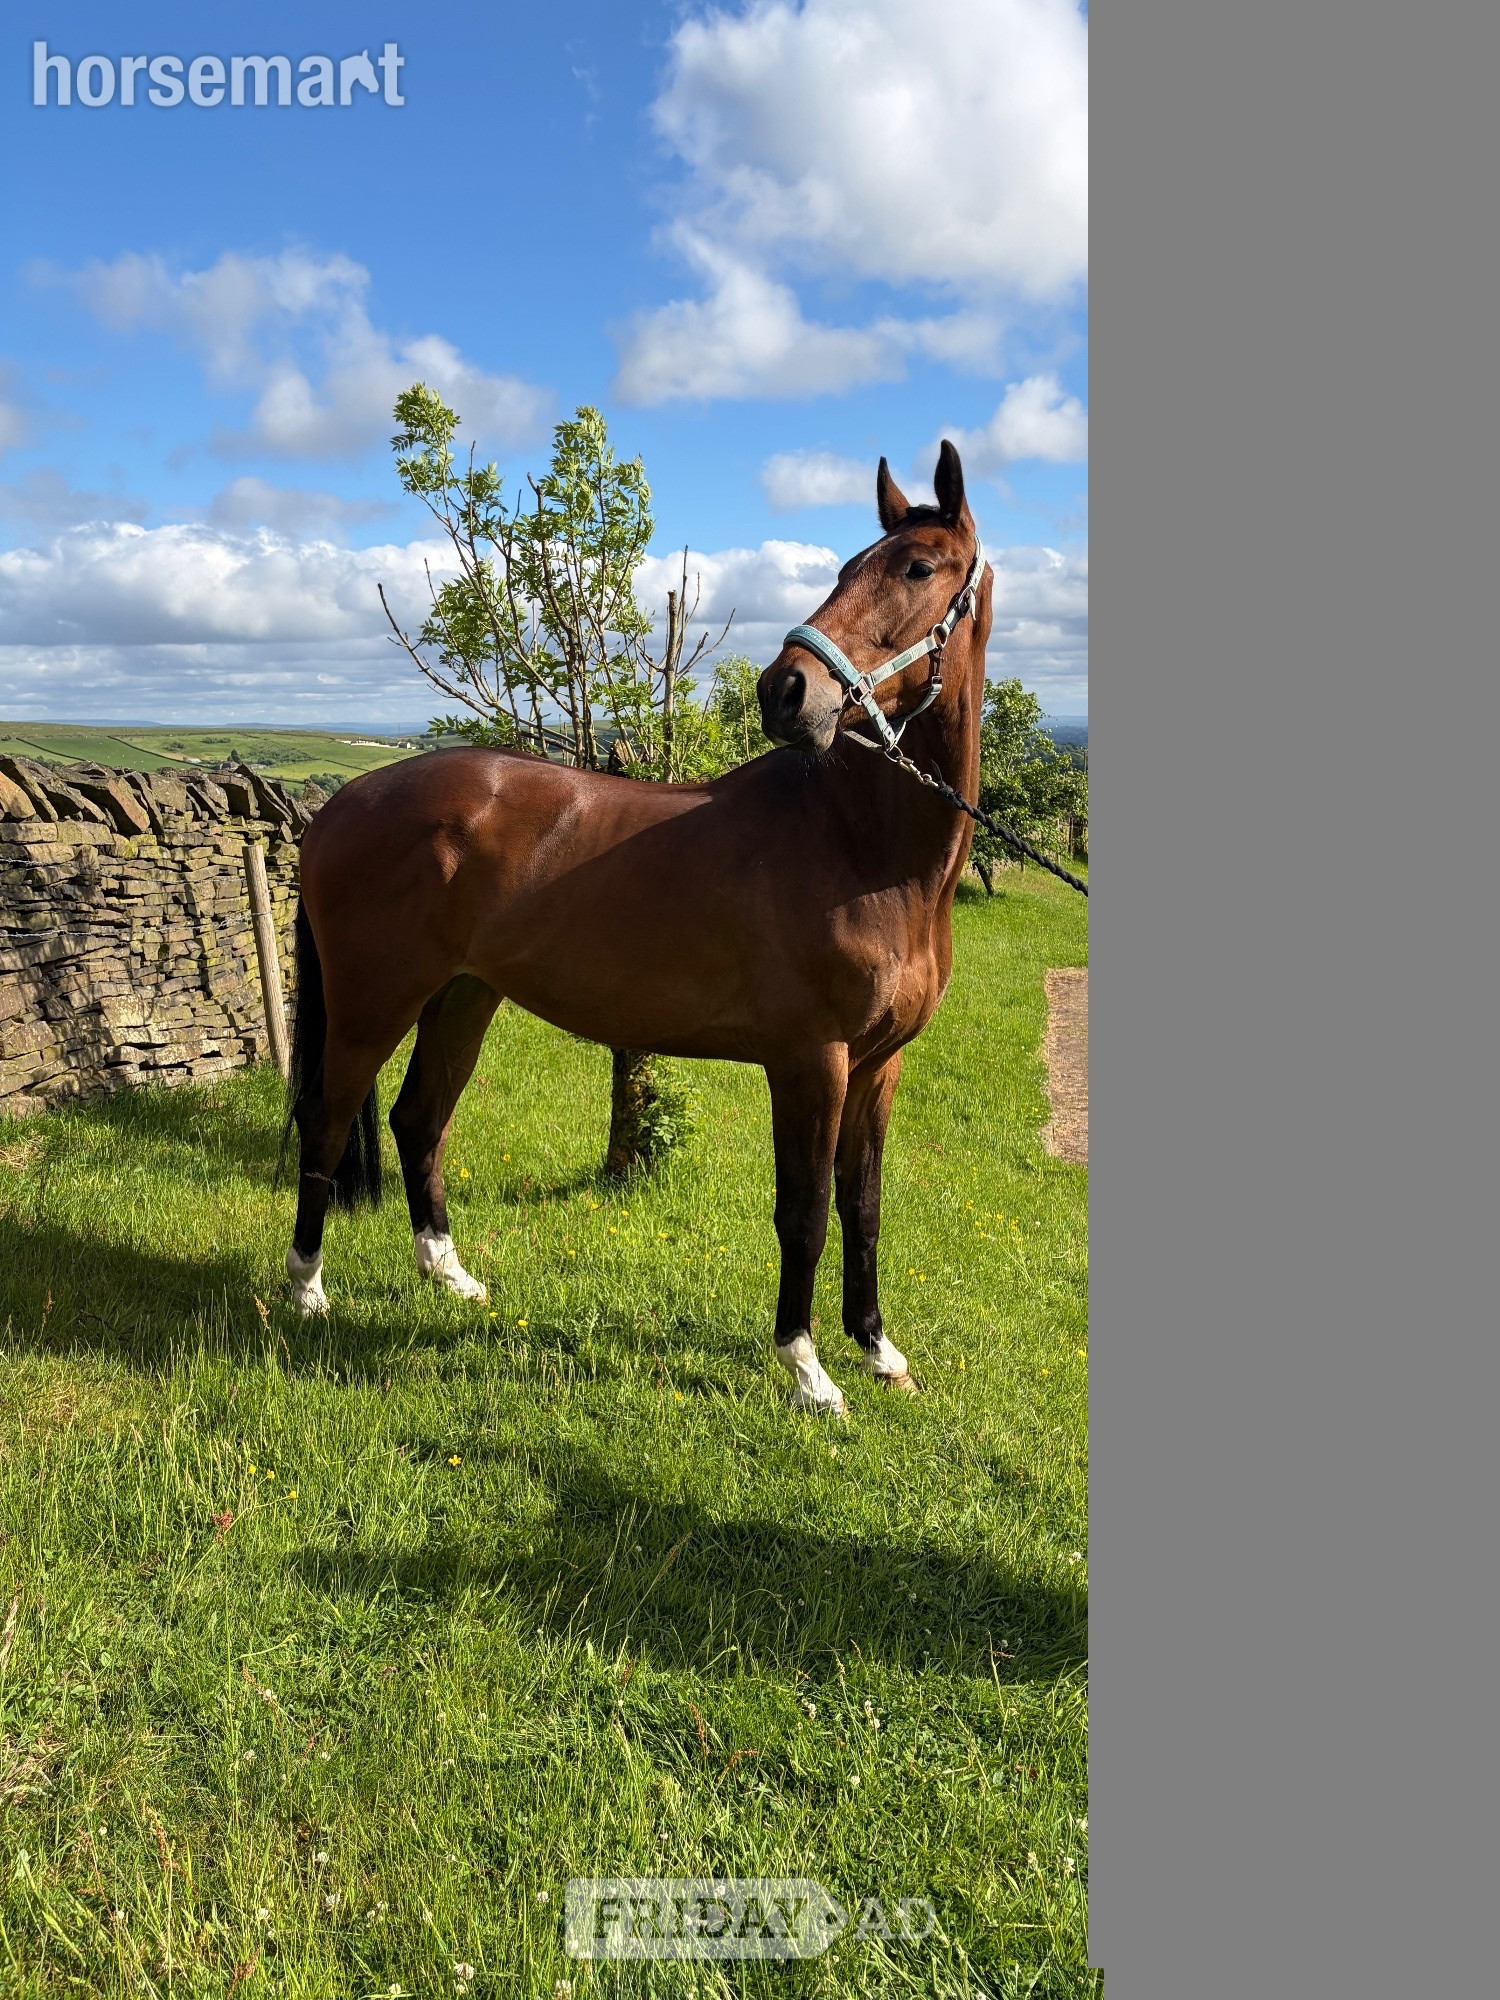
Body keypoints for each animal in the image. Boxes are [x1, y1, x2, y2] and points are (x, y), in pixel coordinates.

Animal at [283, 441, 992, 1416]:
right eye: (849, 567)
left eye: (918, 568)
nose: (785, 690)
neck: (861, 847)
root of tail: (337, 806)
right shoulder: (811, 1061)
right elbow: (804, 1211)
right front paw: (807, 1370)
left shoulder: (877, 1065)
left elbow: (864, 1205)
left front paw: (879, 1350)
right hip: (370, 1006)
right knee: (326, 1119)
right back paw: (308, 1289)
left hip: (463, 998)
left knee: (418, 1119)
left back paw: (449, 1275)